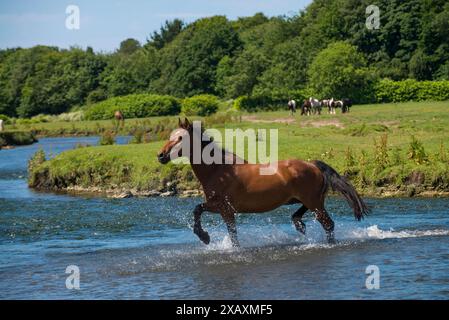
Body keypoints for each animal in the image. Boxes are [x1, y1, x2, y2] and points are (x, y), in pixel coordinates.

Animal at [158, 119, 368, 246]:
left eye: (180, 138)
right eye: (170, 137)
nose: (160, 156)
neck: (218, 170)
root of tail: (313, 165)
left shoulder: (224, 208)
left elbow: (227, 231)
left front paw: (205, 237)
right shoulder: (219, 207)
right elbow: (198, 210)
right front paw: (205, 237)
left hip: (314, 202)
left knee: (328, 225)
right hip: (309, 201)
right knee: (302, 215)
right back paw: (300, 225)